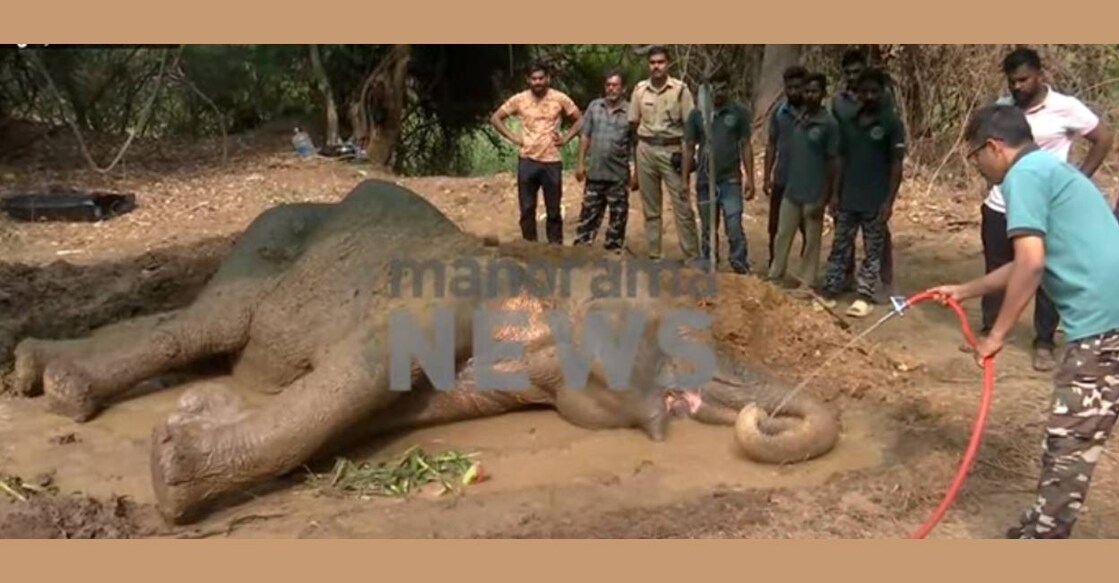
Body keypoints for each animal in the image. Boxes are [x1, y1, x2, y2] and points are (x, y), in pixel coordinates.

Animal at [10, 179, 840, 524]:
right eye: (684, 334)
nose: (762, 413)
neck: (546, 282)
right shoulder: (436, 301)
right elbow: (352, 379)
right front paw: (172, 468)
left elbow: (370, 411)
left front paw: (195, 412)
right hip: (266, 244)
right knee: (202, 325)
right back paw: (63, 388)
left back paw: (32, 369)